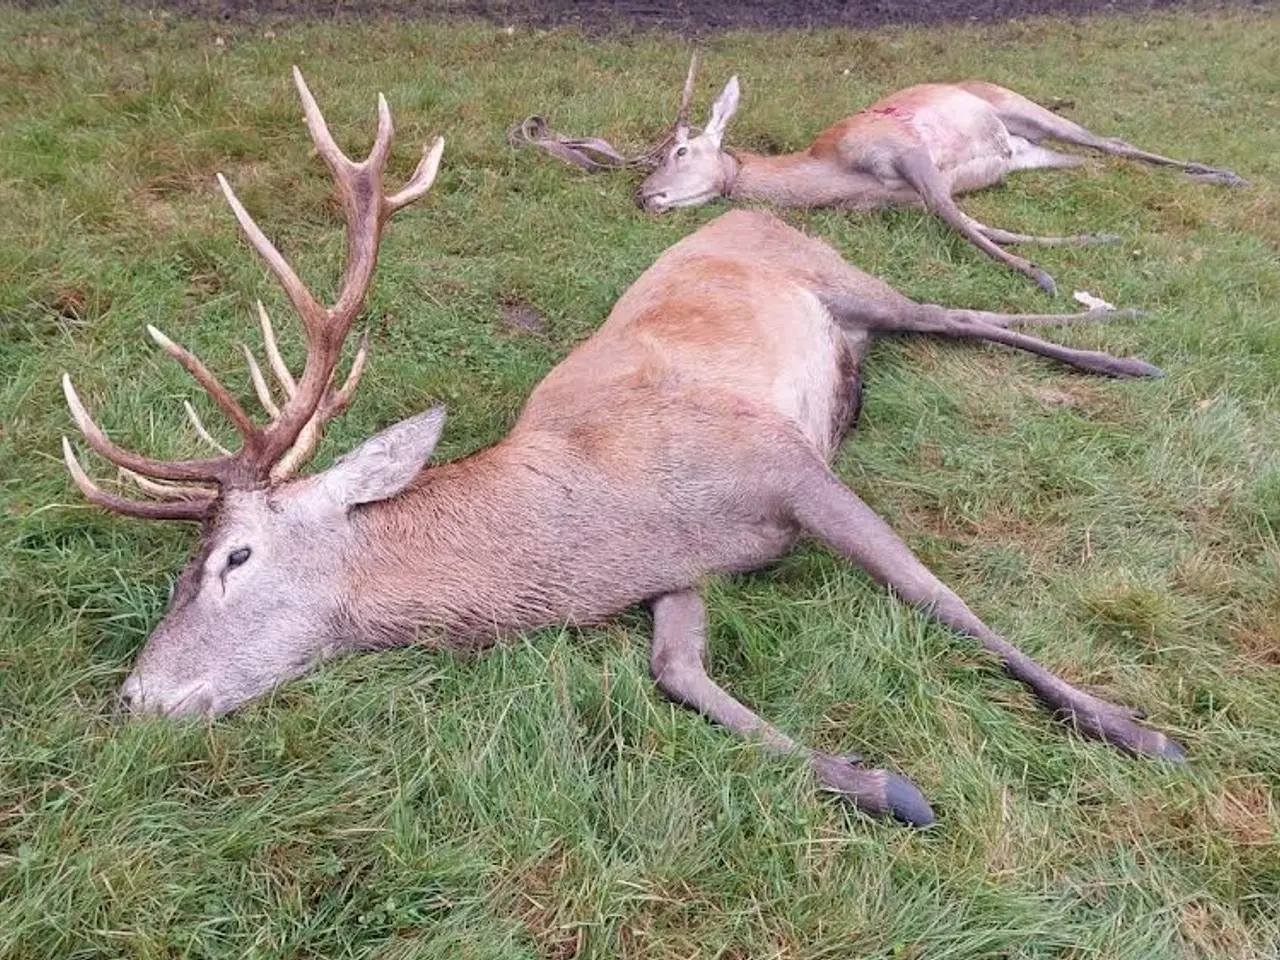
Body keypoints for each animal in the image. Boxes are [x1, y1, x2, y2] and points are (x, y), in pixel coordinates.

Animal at [634, 57, 1244, 293]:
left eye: (680, 150)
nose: (645, 196)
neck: (834, 175)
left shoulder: (906, 151)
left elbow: (955, 219)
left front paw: (1041, 275)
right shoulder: (901, 198)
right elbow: (973, 221)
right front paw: (1094, 240)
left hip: (1019, 105)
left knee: (1108, 141)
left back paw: (1225, 175)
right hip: (1028, 154)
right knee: (1098, 161)